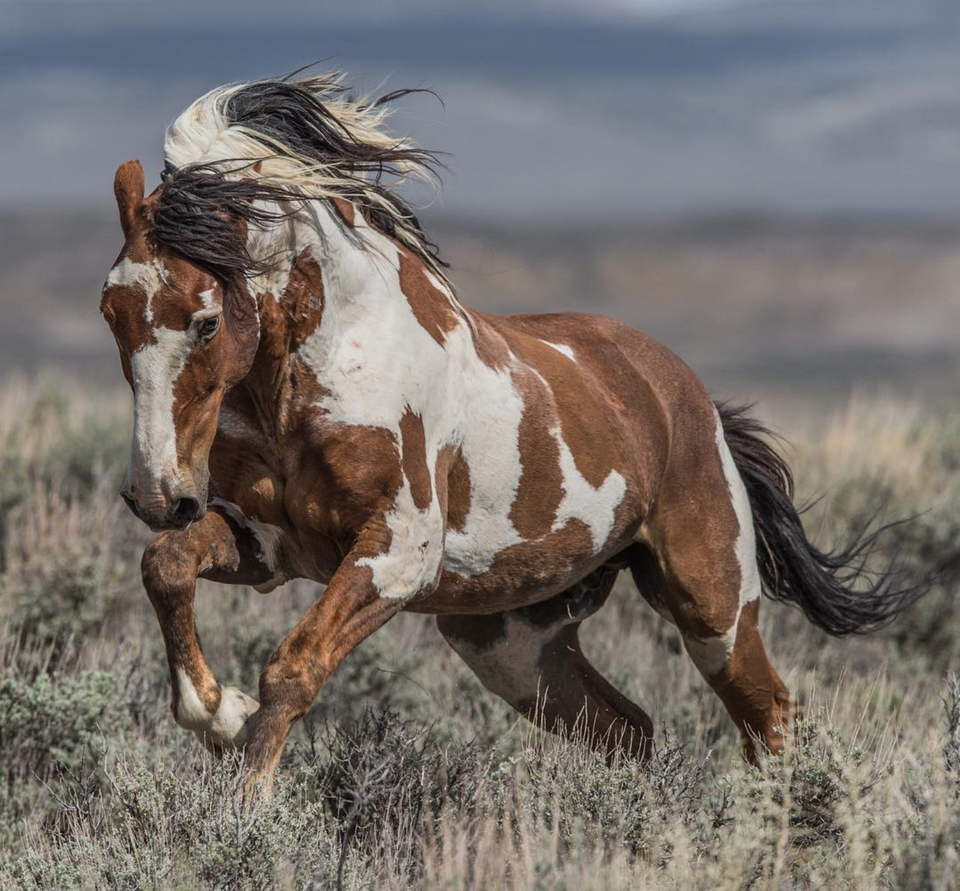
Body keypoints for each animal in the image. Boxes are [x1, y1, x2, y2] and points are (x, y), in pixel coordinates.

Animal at [97, 75, 924, 788]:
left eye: (206, 320)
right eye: (110, 312)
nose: (156, 494)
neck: (317, 371)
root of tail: (690, 399)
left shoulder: (396, 553)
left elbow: (292, 667)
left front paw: (244, 806)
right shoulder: (269, 543)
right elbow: (166, 566)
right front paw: (216, 713)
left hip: (712, 607)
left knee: (772, 718)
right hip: (513, 642)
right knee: (627, 728)